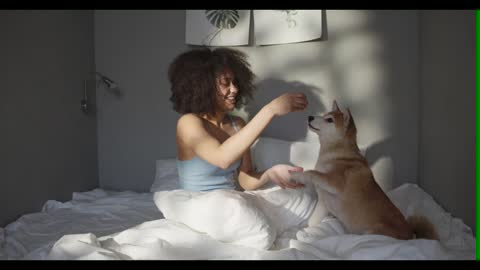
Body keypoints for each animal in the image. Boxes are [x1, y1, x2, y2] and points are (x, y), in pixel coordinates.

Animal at [288, 101, 438, 240]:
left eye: (329, 120)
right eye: (325, 115)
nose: (310, 117)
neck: (337, 155)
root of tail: (411, 235)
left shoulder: (336, 183)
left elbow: (312, 172)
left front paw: (296, 175)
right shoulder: (323, 204)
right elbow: (311, 222)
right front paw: (300, 233)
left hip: (370, 234)